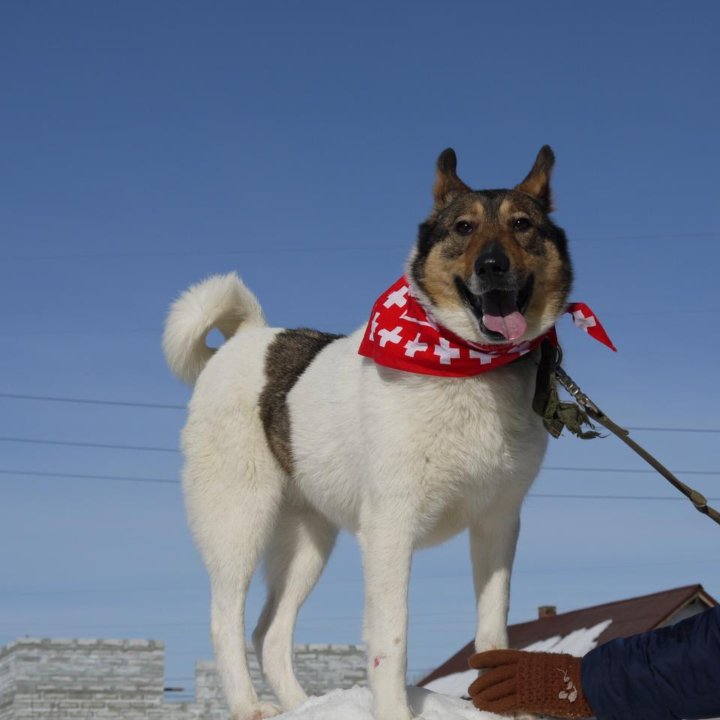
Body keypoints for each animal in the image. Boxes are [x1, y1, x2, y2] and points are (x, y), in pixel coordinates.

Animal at [163, 146, 572, 720]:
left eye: (522, 225)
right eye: (463, 227)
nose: (493, 267)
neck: (470, 364)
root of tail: (246, 338)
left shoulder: (498, 525)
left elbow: (494, 632)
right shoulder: (388, 530)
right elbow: (391, 639)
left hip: (307, 541)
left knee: (270, 633)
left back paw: (304, 705)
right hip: (239, 521)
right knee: (226, 621)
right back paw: (250, 706)